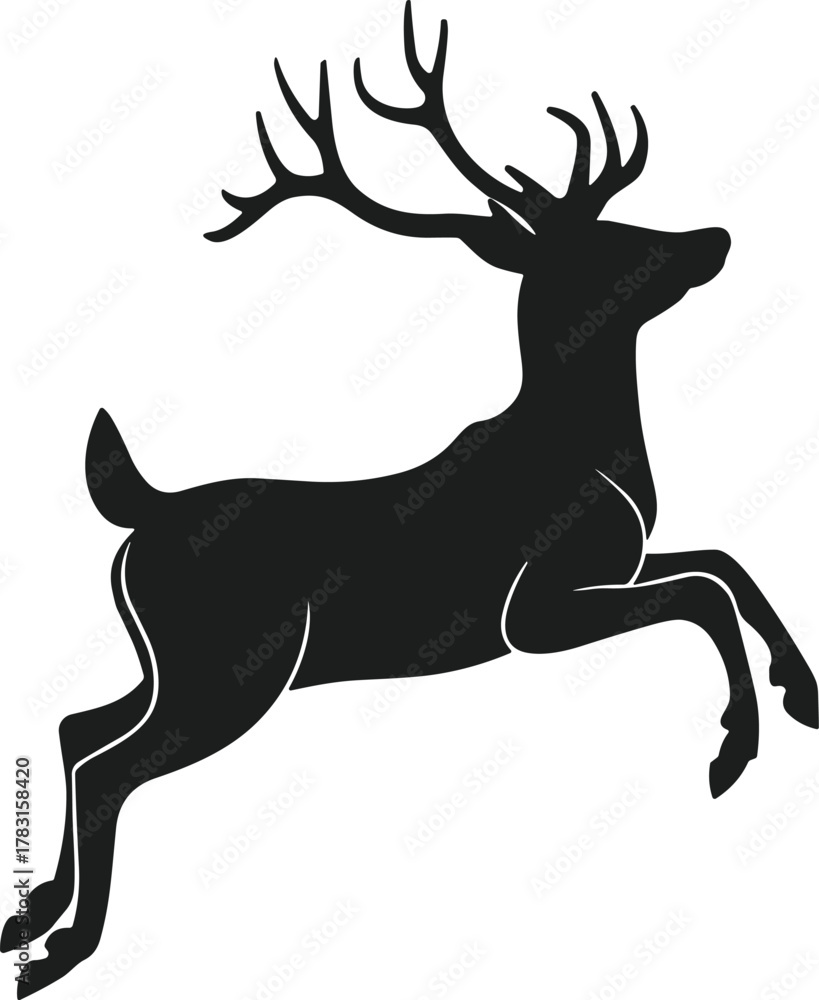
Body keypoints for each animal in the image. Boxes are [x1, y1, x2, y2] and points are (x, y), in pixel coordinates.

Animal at [4, 3, 817, 994]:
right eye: (606, 241)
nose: (713, 239)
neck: (594, 454)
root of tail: (142, 515)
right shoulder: (526, 610)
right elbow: (700, 591)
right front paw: (731, 751)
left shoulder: (613, 565)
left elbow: (724, 561)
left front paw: (802, 693)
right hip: (232, 671)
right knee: (110, 767)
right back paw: (63, 950)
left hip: (175, 664)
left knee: (78, 723)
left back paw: (32, 912)